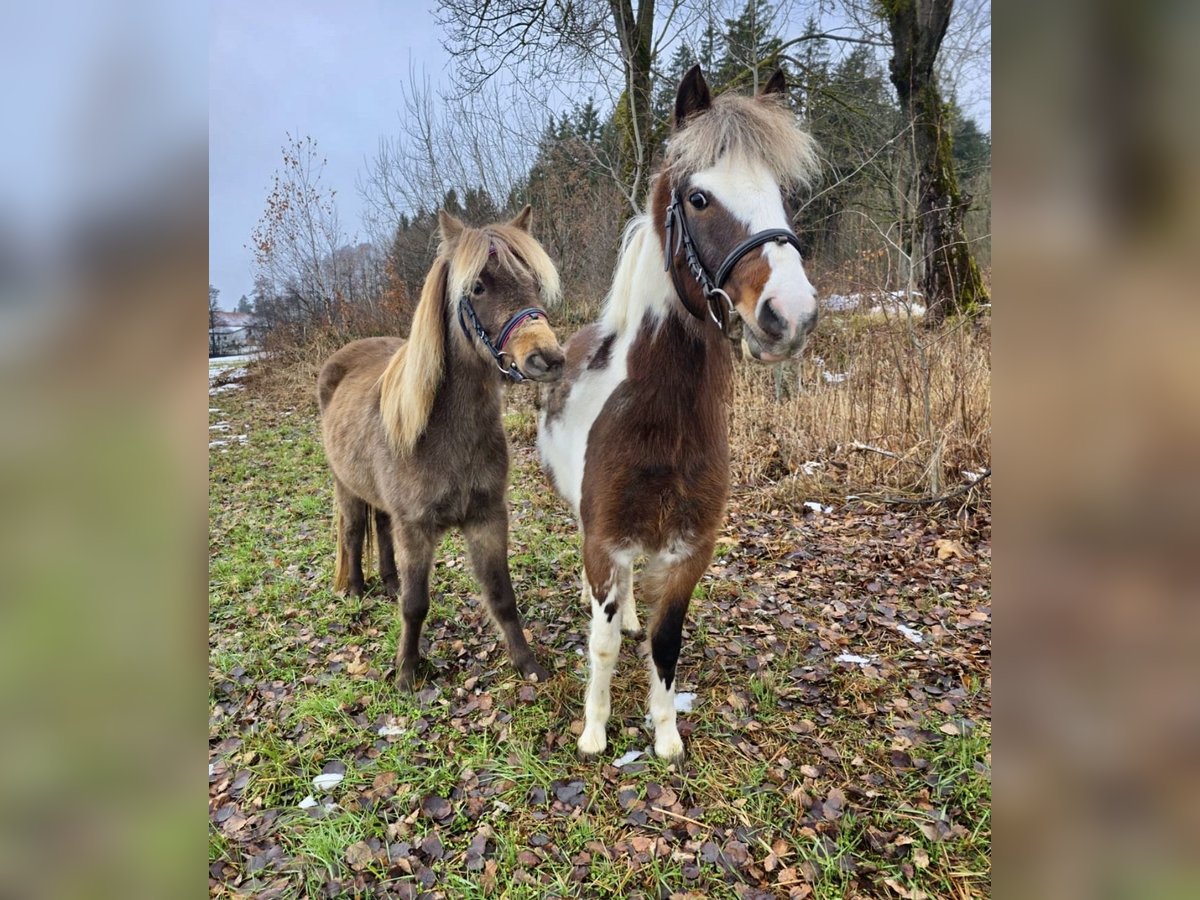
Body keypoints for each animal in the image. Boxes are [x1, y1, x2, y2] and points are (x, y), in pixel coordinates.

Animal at [319, 207, 565, 689]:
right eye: (478, 286)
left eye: (532, 279)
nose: (547, 358)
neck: (444, 434)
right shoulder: (416, 527)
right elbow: (415, 605)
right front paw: (406, 674)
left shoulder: (487, 518)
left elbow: (502, 596)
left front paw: (527, 665)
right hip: (346, 486)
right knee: (354, 531)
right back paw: (355, 589)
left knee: (380, 528)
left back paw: (388, 582)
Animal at [537, 66, 820, 764]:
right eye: (699, 198)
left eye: (781, 196)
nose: (792, 315)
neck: (656, 423)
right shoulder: (603, 539)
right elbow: (603, 643)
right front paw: (594, 731)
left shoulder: (690, 548)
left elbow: (665, 641)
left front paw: (665, 734)